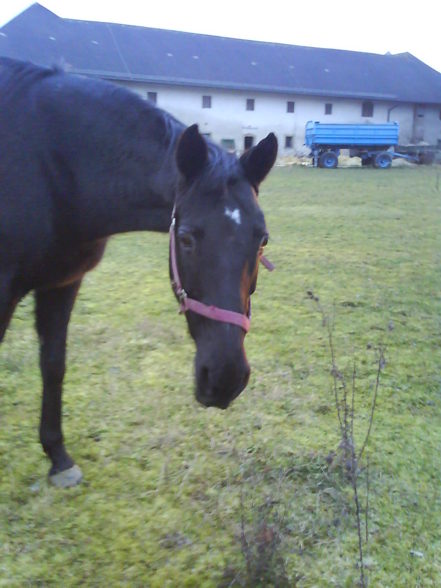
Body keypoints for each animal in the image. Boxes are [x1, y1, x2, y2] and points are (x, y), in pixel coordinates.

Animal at [0, 57, 276, 486]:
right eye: (186, 238)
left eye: (262, 239)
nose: (225, 378)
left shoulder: (62, 282)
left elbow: (53, 364)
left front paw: (58, 457)